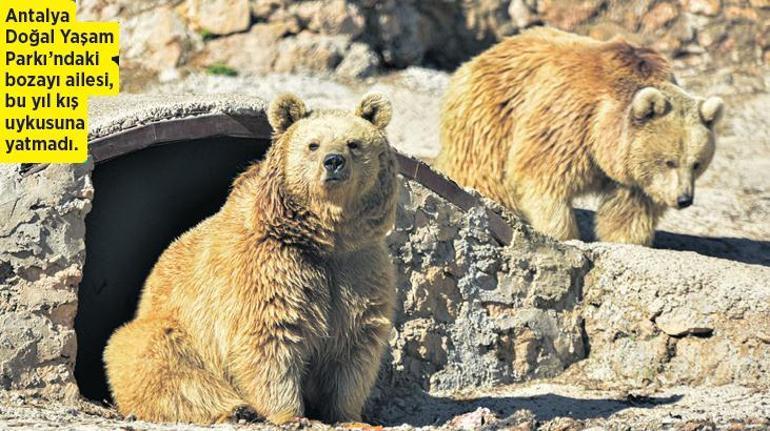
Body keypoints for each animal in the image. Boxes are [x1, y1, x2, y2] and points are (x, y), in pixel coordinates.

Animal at [103, 93, 400, 426]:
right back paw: (234, 408)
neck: (325, 239)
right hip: (173, 327)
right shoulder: (269, 268)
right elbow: (270, 338)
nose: (333, 161)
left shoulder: (358, 267)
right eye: (313, 144)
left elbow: (354, 345)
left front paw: (350, 415)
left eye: (353, 143)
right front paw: (290, 415)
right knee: (158, 359)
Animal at [436, 27, 724, 246]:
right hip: (493, 114)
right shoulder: (570, 125)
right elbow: (544, 182)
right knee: (484, 170)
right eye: (669, 161)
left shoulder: (634, 176)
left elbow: (630, 211)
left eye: (697, 163)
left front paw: (626, 241)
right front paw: (564, 236)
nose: (684, 199)